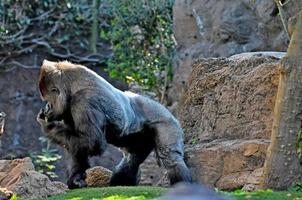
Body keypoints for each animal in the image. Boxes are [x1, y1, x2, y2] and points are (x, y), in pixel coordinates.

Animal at [35, 59, 191, 189]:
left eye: (47, 98)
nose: (47, 108)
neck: (72, 87)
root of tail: (166, 109)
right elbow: (77, 146)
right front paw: (76, 179)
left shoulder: (83, 102)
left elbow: (92, 142)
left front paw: (47, 127)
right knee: (131, 160)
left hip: (166, 121)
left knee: (171, 159)